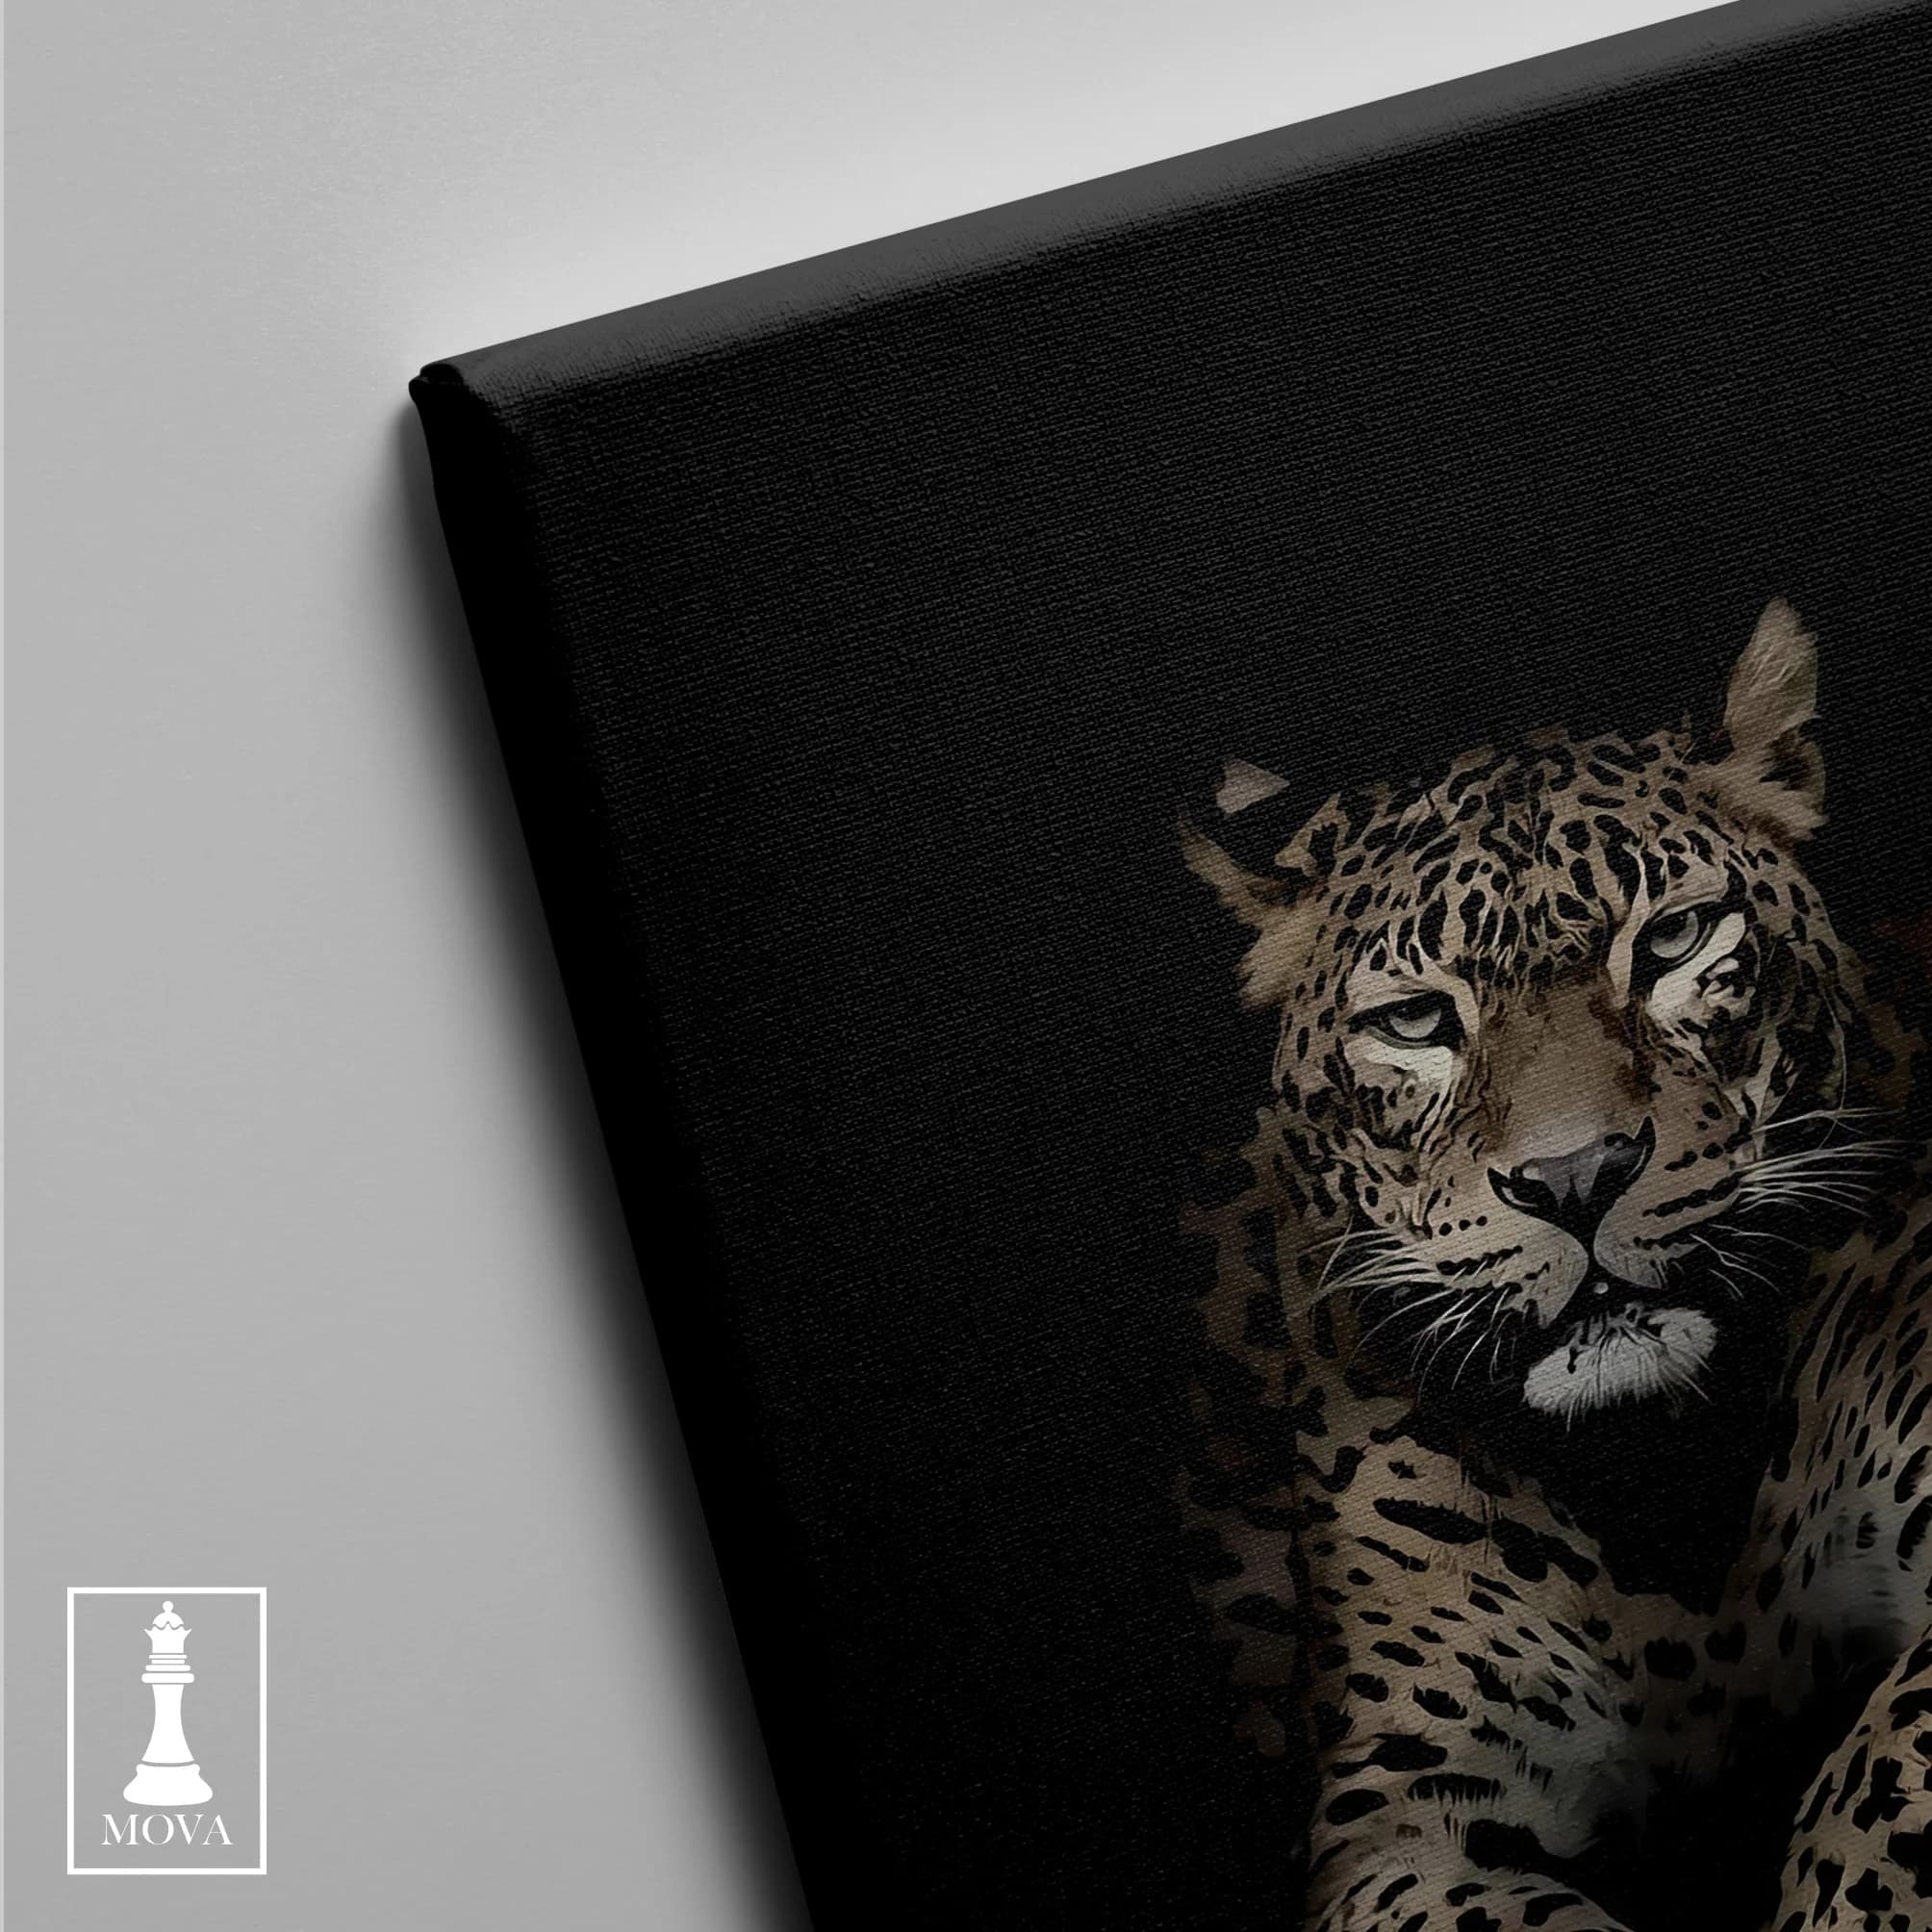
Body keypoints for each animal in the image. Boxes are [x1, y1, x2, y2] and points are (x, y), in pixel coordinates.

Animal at [1178, 600, 1932, 1929]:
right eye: (1416, 1021)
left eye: (1675, 938)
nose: (1574, 1177)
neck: (1665, 1471)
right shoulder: (1395, 1824)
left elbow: (1877, 1771)